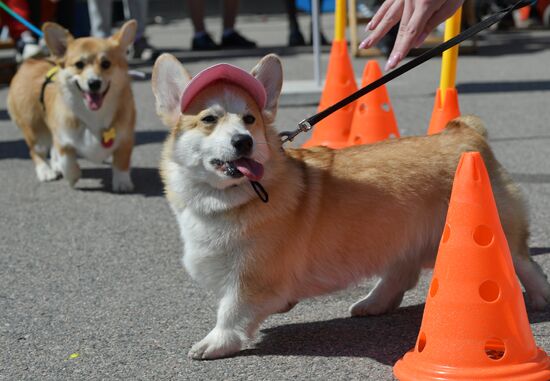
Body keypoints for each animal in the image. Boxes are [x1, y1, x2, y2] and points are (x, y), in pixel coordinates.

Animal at [7, 20, 138, 190]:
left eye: (106, 64)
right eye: (79, 64)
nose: (94, 83)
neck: (94, 116)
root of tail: (30, 62)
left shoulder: (126, 138)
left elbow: (122, 162)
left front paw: (122, 182)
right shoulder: (63, 137)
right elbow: (67, 160)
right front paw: (72, 176)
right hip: (35, 130)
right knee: (36, 152)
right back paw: (45, 171)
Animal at [151, 54, 550, 360]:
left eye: (249, 119)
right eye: (209, 119)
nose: (243, 141)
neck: (233, 197)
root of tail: (464, 133)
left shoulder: (251, 277)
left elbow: (231, 310)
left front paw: (215, 343)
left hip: (495, 232)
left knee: (525, 264)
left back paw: (541, 297)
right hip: (403, 234)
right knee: (401, 273)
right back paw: (373, 302)